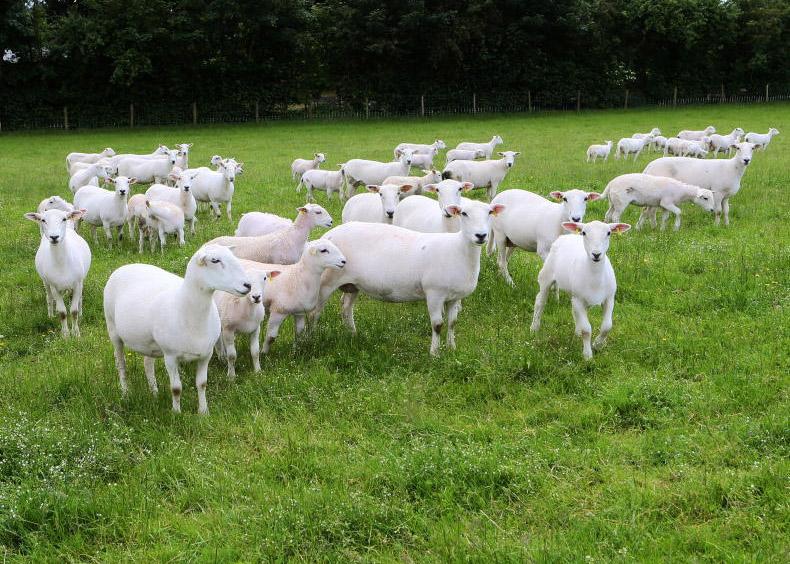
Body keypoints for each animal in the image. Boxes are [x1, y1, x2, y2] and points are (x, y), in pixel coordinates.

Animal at [24, 208, 91, 337]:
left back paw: (81, 313)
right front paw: (65, 335)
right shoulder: (54, 287)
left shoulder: (77, 283)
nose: (54, 237)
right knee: (49, 297)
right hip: (46, 282)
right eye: (43, 220)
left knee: (79, 298)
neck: (61, 263)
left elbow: (73, 311)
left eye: (64, 219)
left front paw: (76, 333)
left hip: (80, 281)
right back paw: (50, 315)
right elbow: (62, 312)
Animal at [103, 244, 252, 414]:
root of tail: (127, 265)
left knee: (147, 364)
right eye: (215, 260)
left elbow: (202, 384)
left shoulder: (206, 354)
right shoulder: (170, 356)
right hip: (113, 330)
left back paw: (154, 392)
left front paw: (203, 412)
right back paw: (125, 392)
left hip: (149, 342)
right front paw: (176, 413)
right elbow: (176, 388)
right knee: (121, 364)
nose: (248, 285)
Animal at [313, 200, 505, 356]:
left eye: (490, 212)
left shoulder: (454, 297)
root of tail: (327, 236)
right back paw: (310, 340)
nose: (481, 236)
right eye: (464, 213)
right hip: (325, 283)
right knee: (314, 313)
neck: (458, 250)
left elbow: (452, 323)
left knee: (346, 307)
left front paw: (452, 348)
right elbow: (437, 325)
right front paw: (435, 353)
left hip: (352, 284)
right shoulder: (434, 293)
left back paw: (353, 334)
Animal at [531, 221, 631, 360]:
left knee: (574, 310)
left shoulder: (609, 299)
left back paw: (577, 332)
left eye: (609, 233)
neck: (595, 277)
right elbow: (586, 329)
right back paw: (534, 327)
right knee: (540, 302)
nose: (596, 254)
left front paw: (597, 345)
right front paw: (587, 355)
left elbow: (607, 326)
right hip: (546, 276)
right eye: (584, 233)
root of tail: (567, 236)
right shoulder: (579, 299)